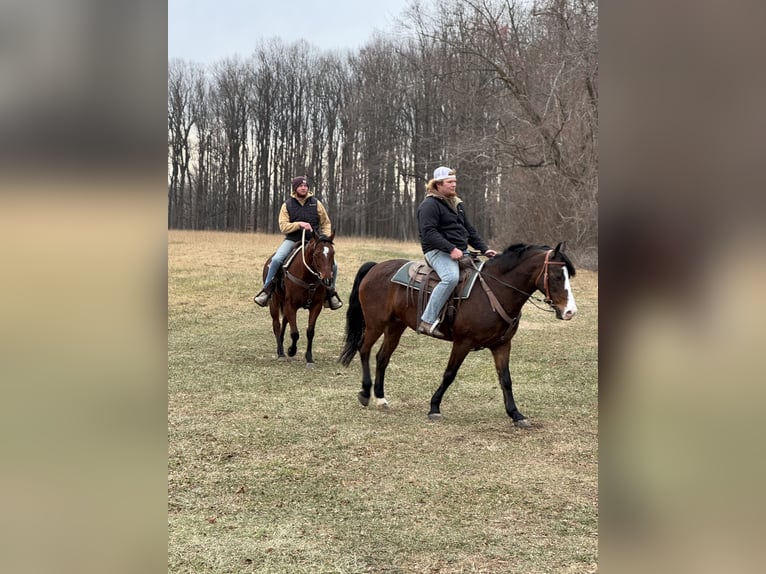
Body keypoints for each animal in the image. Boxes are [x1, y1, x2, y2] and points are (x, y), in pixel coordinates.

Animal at [264, 231, 336, 368]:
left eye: (333, 253)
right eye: (316, 254)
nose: (327, 279)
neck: (307, 278)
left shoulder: (316, 306)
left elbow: (310, 332)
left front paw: (309, 359)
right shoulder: (291, 305)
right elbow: (295, 333)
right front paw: (291, 350)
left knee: (285, 321)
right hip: (274, 302)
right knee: (277, 324)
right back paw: (281, 353)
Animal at [340, 243, 580, 428]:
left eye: (568, 276)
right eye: (556, 276)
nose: (570, 312)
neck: (494, 290)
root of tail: (375, 267)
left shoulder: (502, 345)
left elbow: (506, 379)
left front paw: (516, 414)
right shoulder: (463, 343)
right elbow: (449, 374)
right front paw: (434, 407)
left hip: (395, 327)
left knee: (382, 357)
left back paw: (380, 398)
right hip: (375, 324)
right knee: (364, 349)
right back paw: (365, 393)